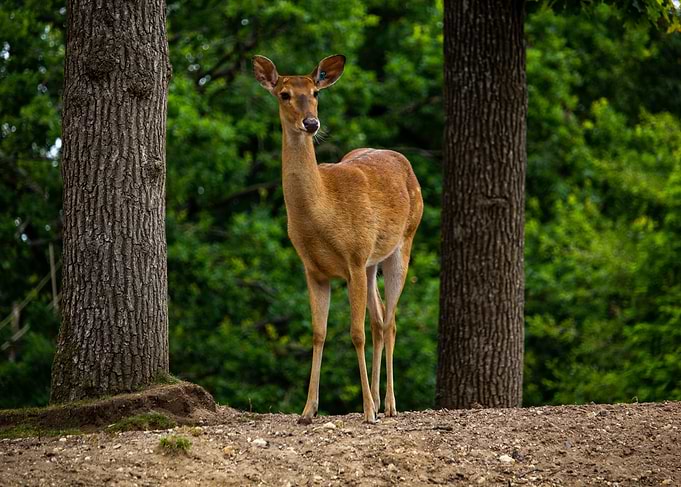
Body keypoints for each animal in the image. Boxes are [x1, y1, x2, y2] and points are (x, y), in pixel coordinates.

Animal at [253, 54, 423, 424]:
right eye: (284, 94)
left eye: (316, 92)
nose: (311, 123)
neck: (322, 214)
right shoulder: (314, 269)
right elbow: (319, 333)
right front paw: (308, 410)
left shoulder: (354, 258)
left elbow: (355, 334)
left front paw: (367, 412)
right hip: (372, 263)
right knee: (379, 318)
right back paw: (377, 399)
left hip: (403, 242)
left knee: (390, 321)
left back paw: (388, 405)